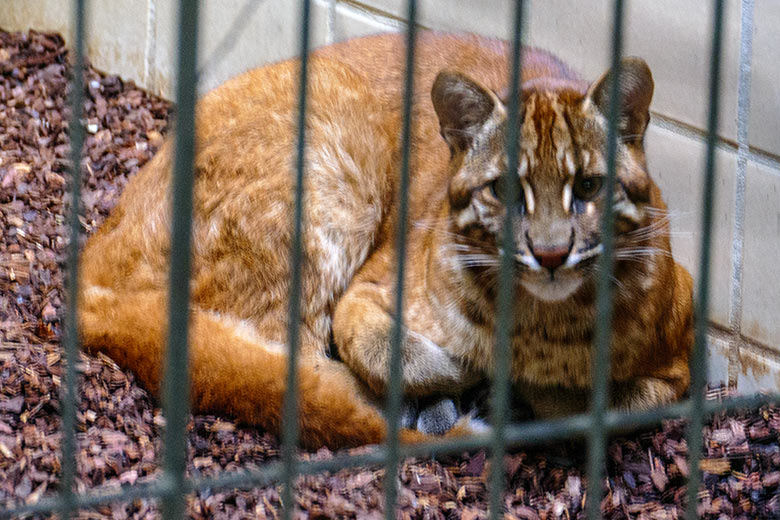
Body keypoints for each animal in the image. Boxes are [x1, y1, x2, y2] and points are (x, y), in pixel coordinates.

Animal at [76, 32, 692, 448]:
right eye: (504, 190)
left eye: (588, 187)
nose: (550, 253)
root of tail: (94, 255)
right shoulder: (368, 290)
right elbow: (388, 349)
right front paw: (471, 382)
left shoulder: (679, 358)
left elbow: (609, 401)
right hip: (338, 159)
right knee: (285, 371)